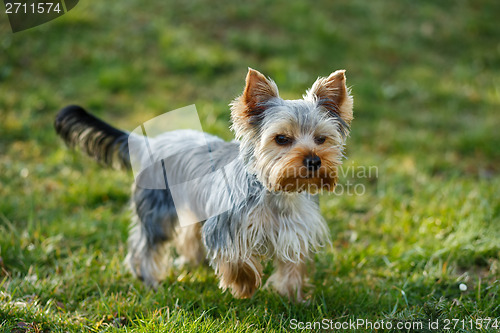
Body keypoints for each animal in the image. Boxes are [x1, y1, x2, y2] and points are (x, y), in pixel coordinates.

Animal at [54, 68, 352, 302]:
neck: (277, 191)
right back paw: (149, 279)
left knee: (187, 237)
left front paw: (291, 296)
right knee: (146, 244)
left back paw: (191, 261)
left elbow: (294, 264)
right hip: (158, 210)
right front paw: (244, 286)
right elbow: (236, 259)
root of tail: (148, 142)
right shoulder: (225, 225)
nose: (313, 161)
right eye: (281, 139)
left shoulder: (297, 230)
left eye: (321, 139)